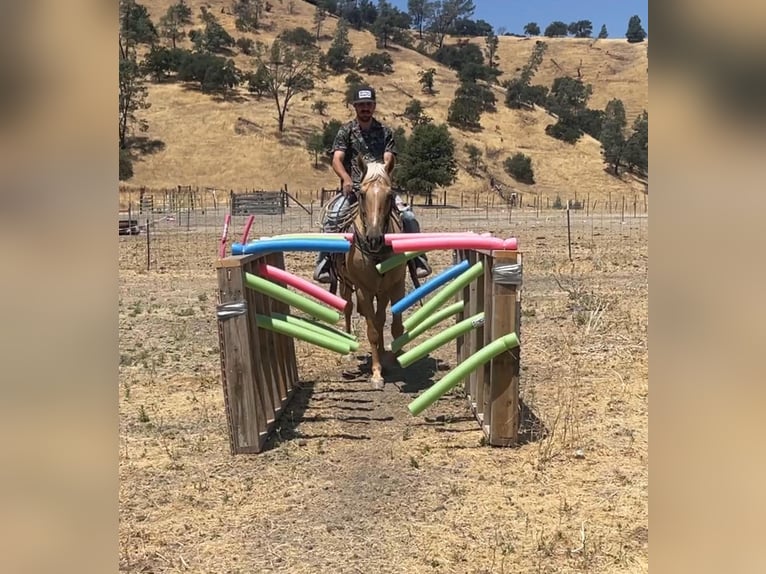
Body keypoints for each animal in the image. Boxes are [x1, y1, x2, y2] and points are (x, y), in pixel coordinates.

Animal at [332, 157, 407, 389]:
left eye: (389, 194)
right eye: (362, 194)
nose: (374, 238)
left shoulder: (396, 284)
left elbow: (395, 326)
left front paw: (392, 361)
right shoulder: (363, 289)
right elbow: (372, 331)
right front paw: (376, 374)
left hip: (381, 290)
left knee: (379, 317)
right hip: (346, 285)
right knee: (348, 309)